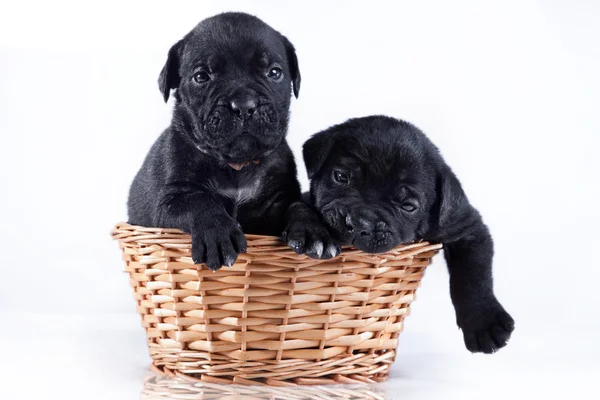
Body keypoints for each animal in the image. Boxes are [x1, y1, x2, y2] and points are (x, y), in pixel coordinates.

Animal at [127, 13, 338, 272]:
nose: (244, 105)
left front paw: (313, 232)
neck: (237, 165)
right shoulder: (171, 199)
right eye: (201, 77)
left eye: (274, 72)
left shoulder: (279, 199)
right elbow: (199, 202)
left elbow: (298, 205)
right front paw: (218, 235)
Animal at [300, 115, 516, 354]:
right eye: (340, 177)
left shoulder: (465, 228)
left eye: (408, 206)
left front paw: (484, 324)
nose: (358, 223)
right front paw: (312, 233)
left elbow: (473, 276)